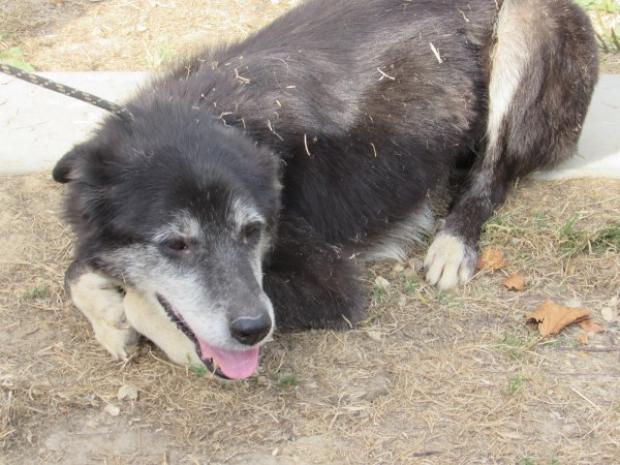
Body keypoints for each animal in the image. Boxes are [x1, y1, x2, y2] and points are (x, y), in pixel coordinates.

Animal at [54, 0, 600, 376]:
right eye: (175, 244)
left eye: (252, 232)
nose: (254, 331)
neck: (214, 112)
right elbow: (77, 270)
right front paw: (109, 313)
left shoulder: (328, 282)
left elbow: (138, 299)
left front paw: (161, 333)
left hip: (525, 31)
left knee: (494, 171)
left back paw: (452, 242)